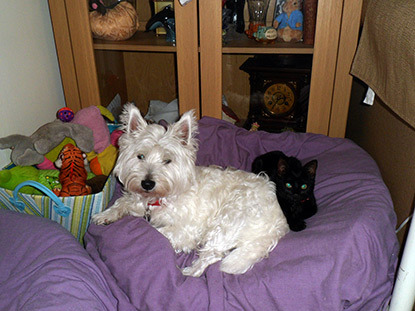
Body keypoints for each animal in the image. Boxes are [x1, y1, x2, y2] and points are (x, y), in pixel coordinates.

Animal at [92, 105, 290, 278]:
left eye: (167, 160)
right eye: (140, 156)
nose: (147, 183)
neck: (158, 198)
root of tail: (279, 224)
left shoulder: (185, 230)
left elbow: (158, 232)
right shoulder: (137, 199)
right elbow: (122, 202)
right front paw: (104, 215)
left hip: (228, 219)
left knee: (213, 254)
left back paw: (187, 272)